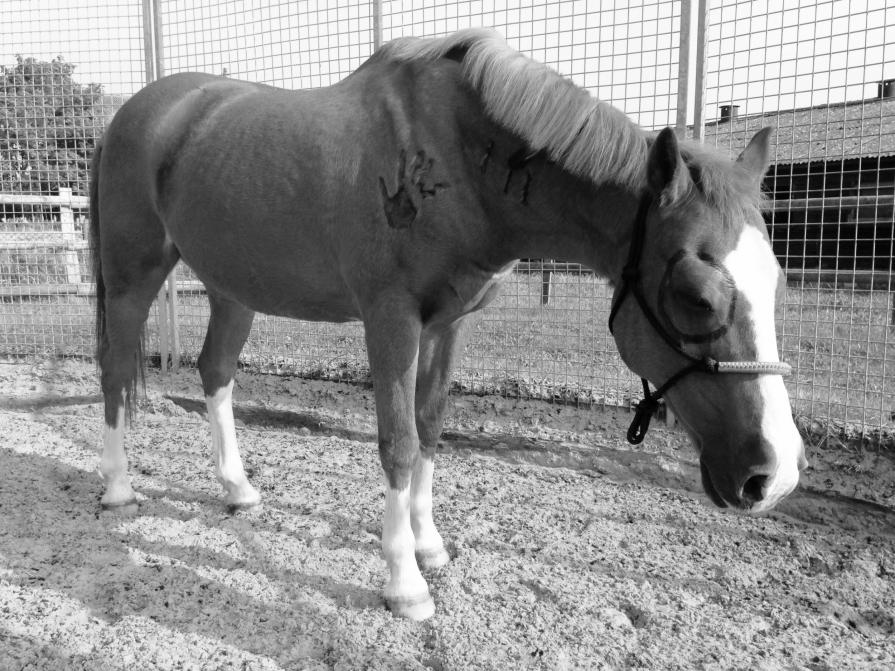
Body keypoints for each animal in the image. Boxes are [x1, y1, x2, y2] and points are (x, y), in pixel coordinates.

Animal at [91, 30, 804, 620]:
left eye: (778, 282)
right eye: (694, 294)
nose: (775, 475)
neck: (457, 159)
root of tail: (136, 113)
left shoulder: (448, 325)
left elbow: (431, 427)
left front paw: (428, 545)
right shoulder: (391, 322)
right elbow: (399, 442)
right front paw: (405, 583)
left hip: (233, 288)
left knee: (214, 372)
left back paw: (237, 490)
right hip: (132, 277)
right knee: (115, 369)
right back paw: (119, 489)